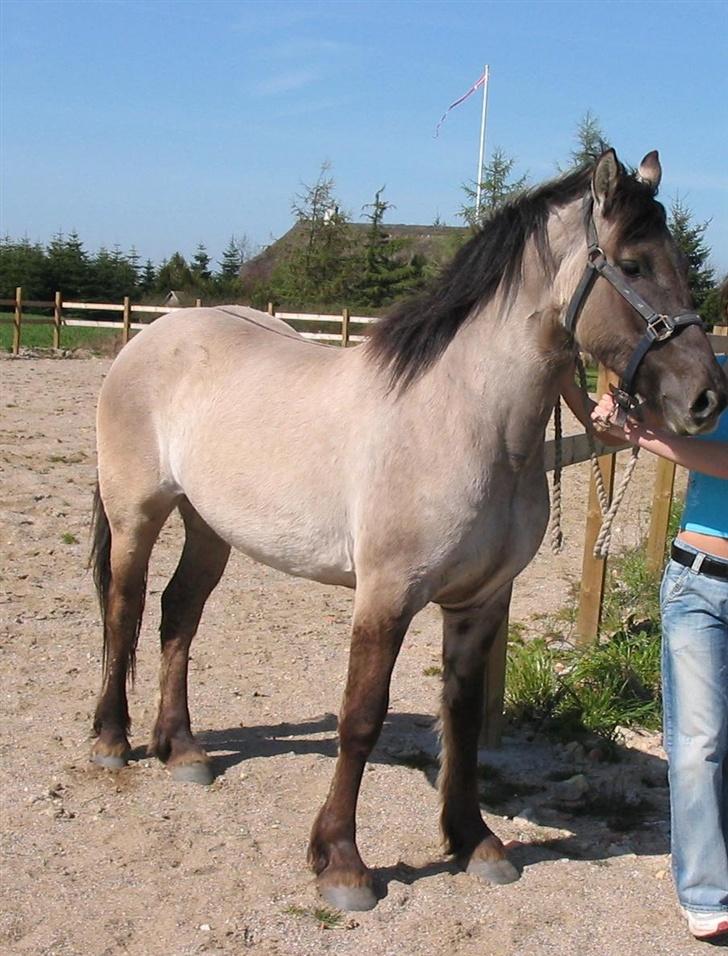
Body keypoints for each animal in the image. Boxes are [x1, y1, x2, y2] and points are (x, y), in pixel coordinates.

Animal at [88, 149, 724, 912]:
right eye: (631, 263)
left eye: (680, 261)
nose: (706, 398)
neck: (468, 420)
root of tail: (152, 335)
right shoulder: (385, 597)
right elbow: (360, 717)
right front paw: (341, 863)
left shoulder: (478, 602)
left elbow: (461, 717)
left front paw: (474, 841)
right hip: (136, 513)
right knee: (124, 609)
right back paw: (111, 740)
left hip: (209, 525)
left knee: (178, 612)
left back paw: (181, 748)